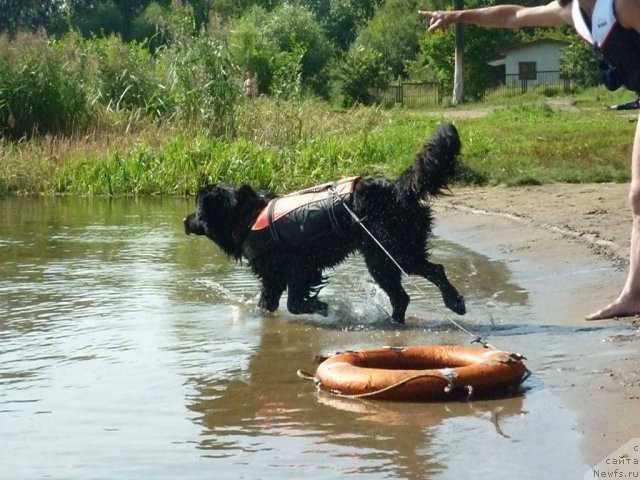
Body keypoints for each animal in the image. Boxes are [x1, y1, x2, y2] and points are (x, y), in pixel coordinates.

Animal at [184, 122, 464, 324]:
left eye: (197, 210)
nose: (184, 220)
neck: (249, 216)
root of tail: (397, 188)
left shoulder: (300, 266)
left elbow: (294, 303)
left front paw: (321, 307)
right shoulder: (273, 276)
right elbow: (268, 304)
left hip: (391, 251)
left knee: (433, 272)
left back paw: (453, 303)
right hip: (385, 255)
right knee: (404, 295)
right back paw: (397, 322)